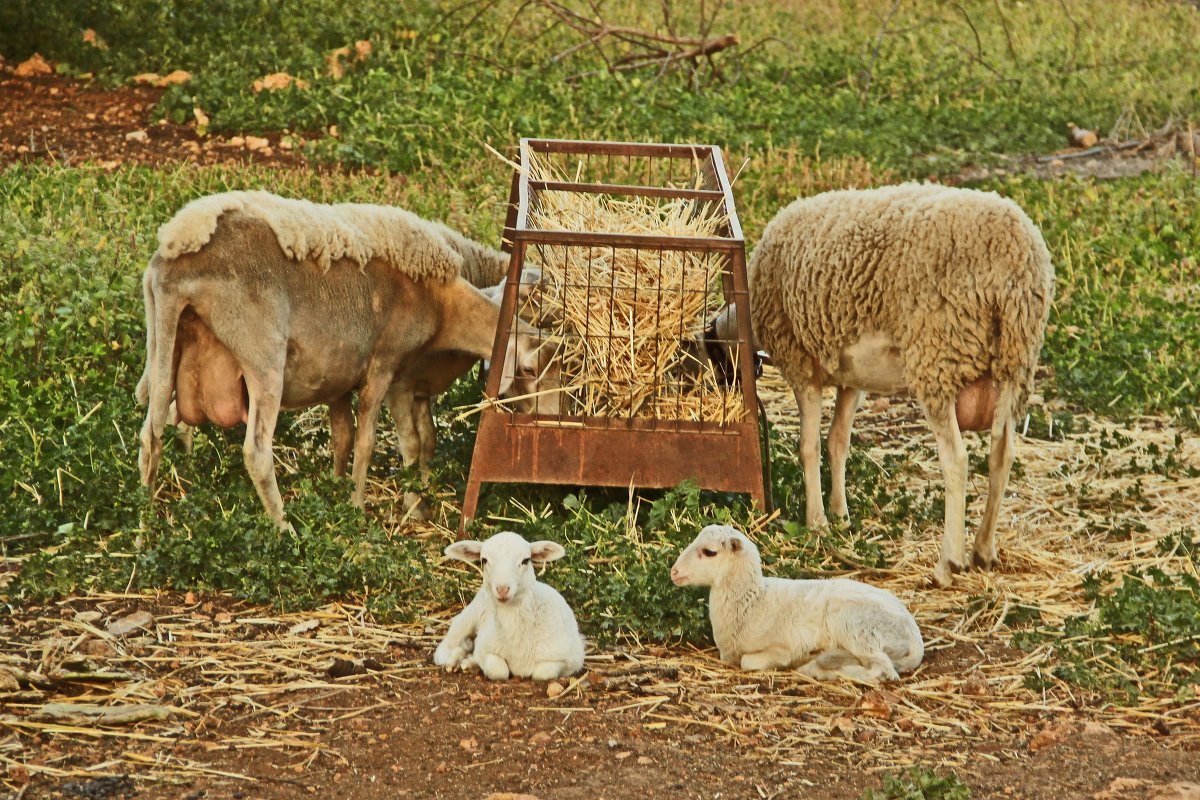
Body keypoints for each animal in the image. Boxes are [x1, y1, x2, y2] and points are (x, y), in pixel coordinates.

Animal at [137, 188, 552, 525]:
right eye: (530, 367)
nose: (544, 423)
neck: (441, 298)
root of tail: (178, 251)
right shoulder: (388, 367)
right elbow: (384, 442)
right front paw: (369, 505)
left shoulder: (344, 375)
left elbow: (352, 436)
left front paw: (342, 490)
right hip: (262, 355)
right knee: (256, 451)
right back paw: (283, 529)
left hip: (164, 343)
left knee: (153, 432)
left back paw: (147, 521)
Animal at [432, 532, 585, 681]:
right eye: (484, 560)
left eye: (525, 560)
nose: (502, 589)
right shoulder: (485, 647)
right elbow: (498, 671)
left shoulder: (572, 659)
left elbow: (542, 673)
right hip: (470, 615)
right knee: (446, 645)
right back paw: (456, 662)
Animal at [672, 525, 921, 681]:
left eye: (709, 552)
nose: (674, 572)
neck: (753, 602)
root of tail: (915, 640)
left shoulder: (785, 646)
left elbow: (748, 662)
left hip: (855, 625)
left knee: (882, 670)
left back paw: (817, 669)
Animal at [710, 183, 1051, 587]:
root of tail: (1013, 255)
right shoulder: (852, 377)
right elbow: (837, 442)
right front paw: (840, 516)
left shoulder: (801, 363)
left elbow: (808, 446)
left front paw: (816, 523)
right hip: (1015, 364)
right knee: (1003, 455)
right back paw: (984, 550)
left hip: (937, 355)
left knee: (956, 460)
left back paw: (947, 564)